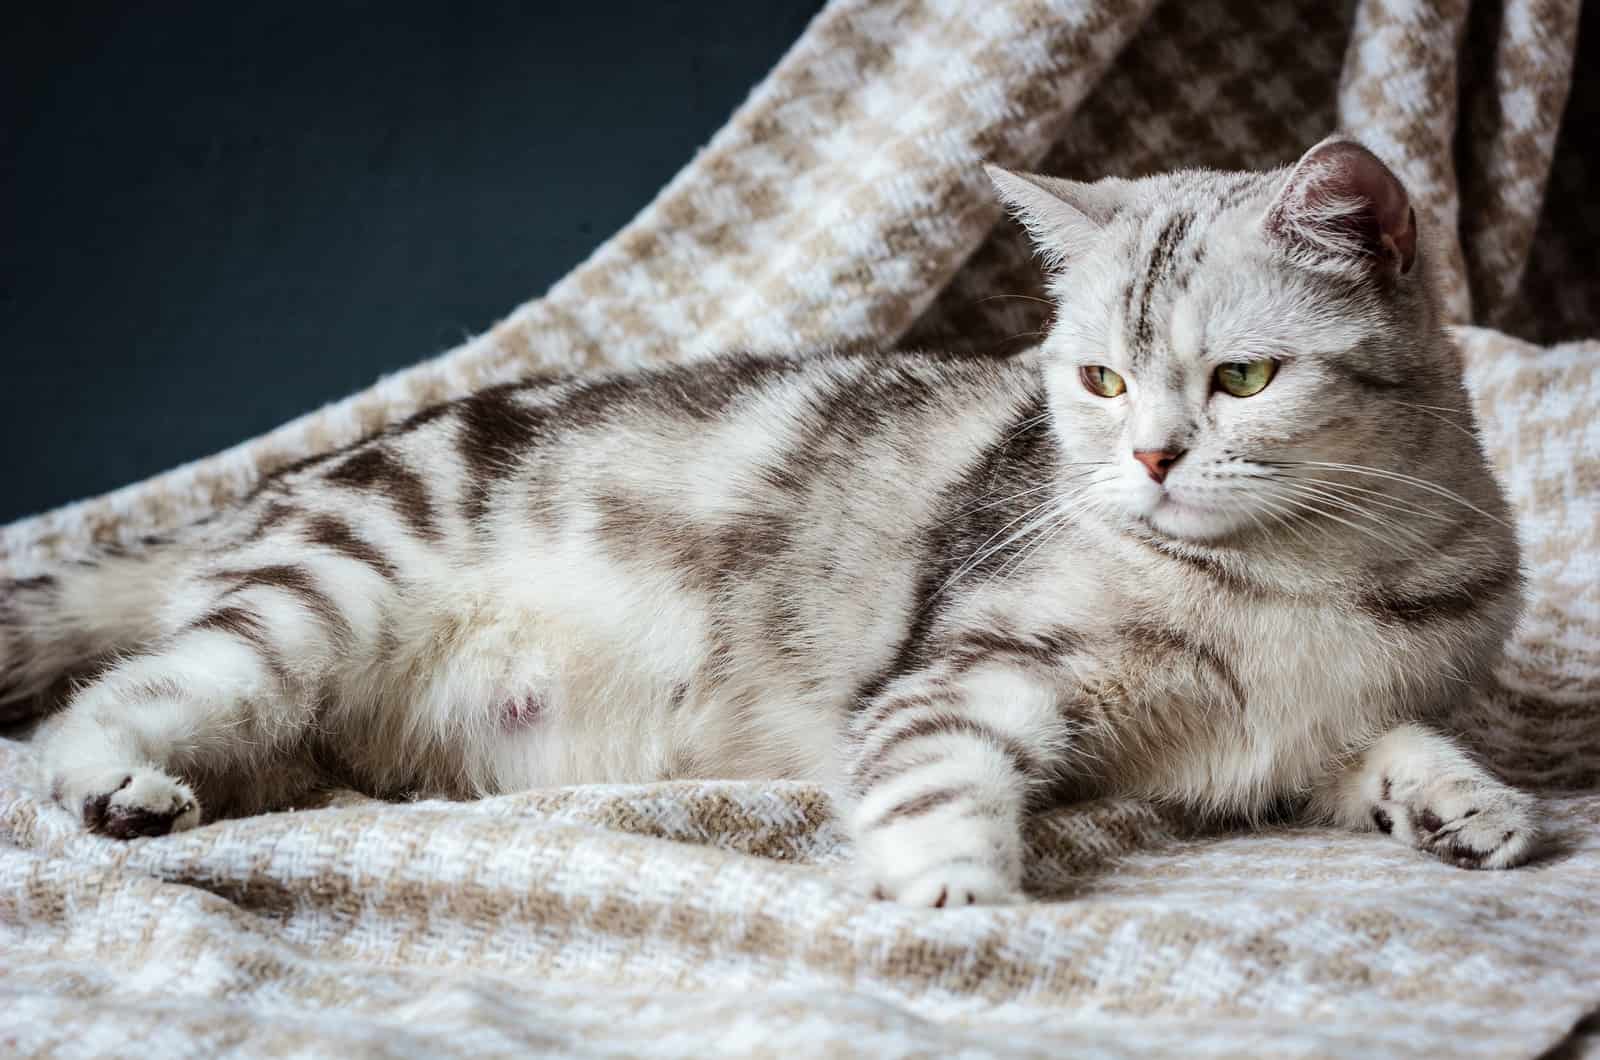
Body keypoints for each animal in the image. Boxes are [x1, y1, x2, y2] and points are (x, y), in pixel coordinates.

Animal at [9, 136, 1536, 909]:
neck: (1296, 584)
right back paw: (121, 789)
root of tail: (266, 494)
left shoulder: (1294, 741)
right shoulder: (967, 674)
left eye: (1244, 379)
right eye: (1101, 381)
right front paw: (960, 903)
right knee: (98, 707)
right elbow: (936, 782)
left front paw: (1465, 803)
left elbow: (1387, 744)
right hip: (306, 611)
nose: (1154, 458)